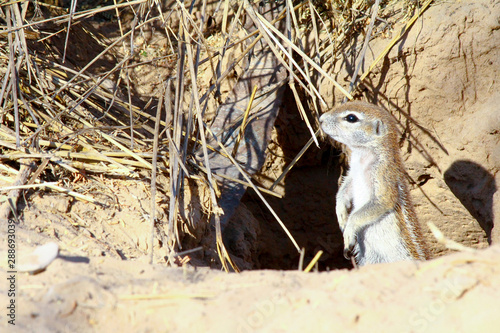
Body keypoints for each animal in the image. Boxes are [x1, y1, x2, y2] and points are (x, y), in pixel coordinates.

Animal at [320, 100, 430, 264]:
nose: (320, 119)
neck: (362, 156)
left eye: (351, 118)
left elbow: (380, 203)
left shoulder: (383, 174)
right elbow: (343, 191)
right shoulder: (353, 173)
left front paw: (349, 228)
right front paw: (341, 214)